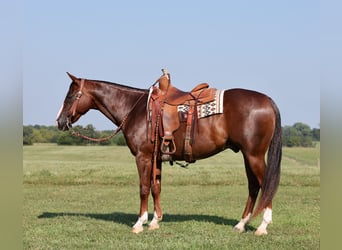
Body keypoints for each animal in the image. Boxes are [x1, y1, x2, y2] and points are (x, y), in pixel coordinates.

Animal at [55, 71, 280, 235]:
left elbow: (144, 188)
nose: (60, 121)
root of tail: (268, 100)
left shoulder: (143, 157)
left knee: (265, 185)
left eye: (70, 96)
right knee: (253, 186)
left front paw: (140, 223)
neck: (134, 108)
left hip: (254, 156)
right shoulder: (157, 158)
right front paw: (155, 221)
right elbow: (156, 187)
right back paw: (241, 224)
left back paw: (262, 227)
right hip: (248, 155)